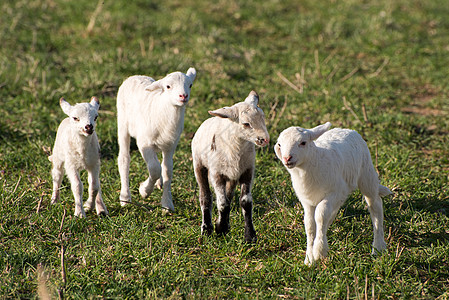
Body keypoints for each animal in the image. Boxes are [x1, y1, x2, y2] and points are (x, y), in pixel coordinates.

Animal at [117, 67, 196, 211]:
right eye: (168, 86)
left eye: (190, 85)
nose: (183, 96)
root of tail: (135, 76)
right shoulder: (144, 142)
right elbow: (154, 169)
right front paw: (144, 191)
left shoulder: (170, 145)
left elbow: (167, 170)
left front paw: (167, 204)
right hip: (123, 124)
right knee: (124, 159)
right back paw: (125, 198)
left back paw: (158, 183)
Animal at [191, 90, 268, 243]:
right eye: (246, 123)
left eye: (263, 117)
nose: (265, 139)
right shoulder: (216, 174)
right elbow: (222, 203)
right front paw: (219, 229)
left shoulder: (247, 171)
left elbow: (245, 202)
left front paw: (249, 236)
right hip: (199, 164)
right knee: (205, 196)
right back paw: (207, 229)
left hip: (232, 176)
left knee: (229, 196)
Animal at [272, 122, 390, 264]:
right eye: (279, 144)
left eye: (303, 143)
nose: (287, 158)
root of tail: (348, 129)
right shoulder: (307, 201)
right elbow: (310, 225)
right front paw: (309, 258)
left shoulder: (336, 192)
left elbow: (320, 214)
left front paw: (319, 251)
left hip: (366, 173)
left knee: (375, 205)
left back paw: (378, 248)